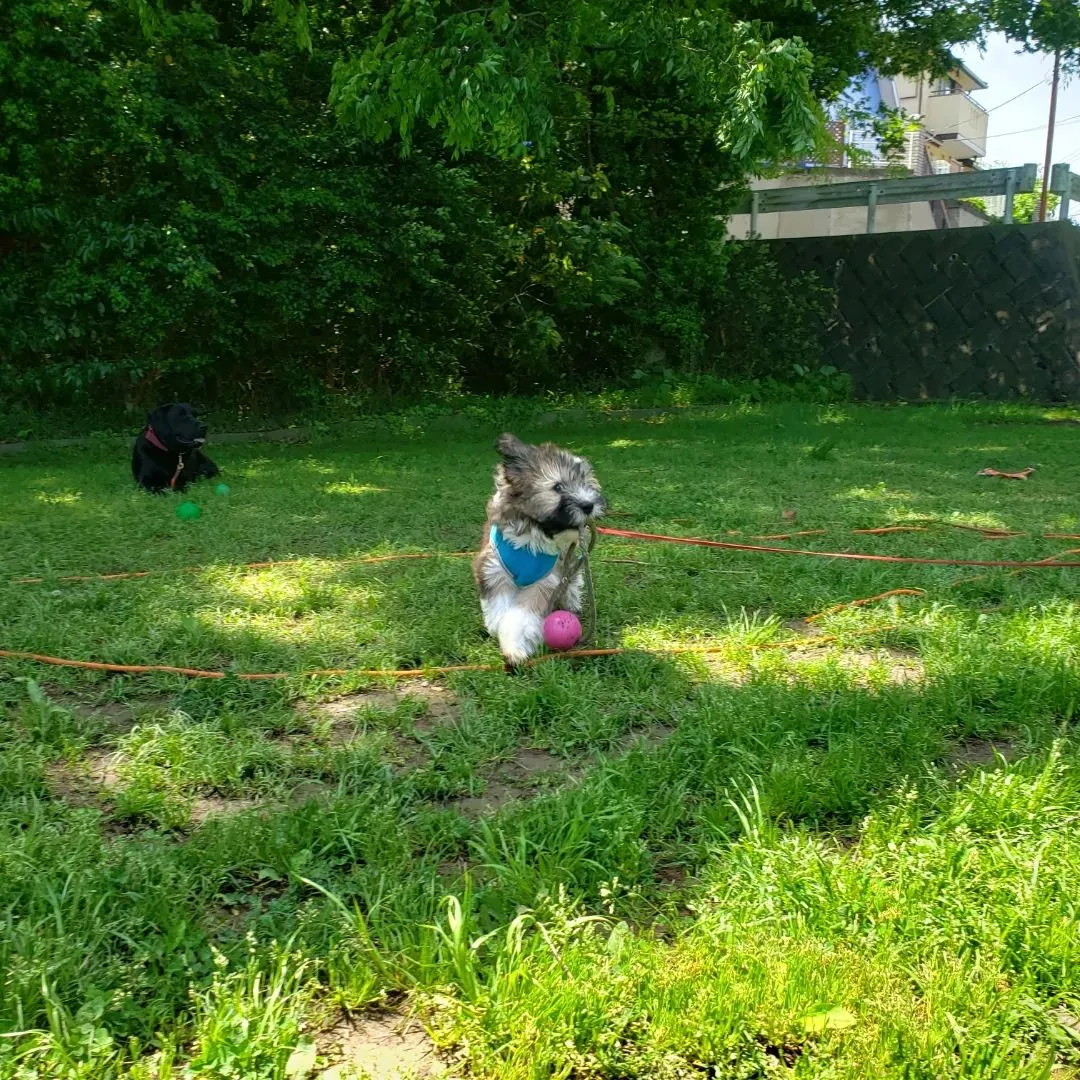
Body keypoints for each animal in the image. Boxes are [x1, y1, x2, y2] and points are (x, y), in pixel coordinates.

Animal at [473, 429, 609, 665]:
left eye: (587, 483)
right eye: (558, 487)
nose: (588, 505)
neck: (533, 532)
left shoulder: (545, 580)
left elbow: (520, 616)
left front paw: (514, 647)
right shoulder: (494, 571)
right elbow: (500, 609)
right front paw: (498, 629)